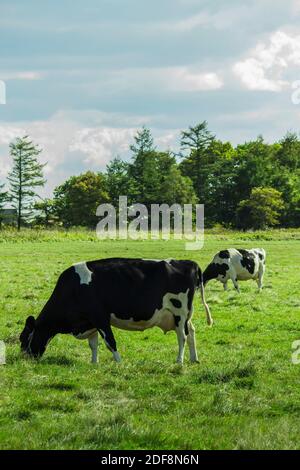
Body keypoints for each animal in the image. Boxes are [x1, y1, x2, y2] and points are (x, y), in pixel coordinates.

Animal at [19, 258, 213, 364]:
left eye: (23, 338)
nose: (24, 359)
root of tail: (190, 263)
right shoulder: (90, 321)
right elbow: (93, 344)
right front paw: (94, 363)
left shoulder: (100, 317)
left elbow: (110, 342)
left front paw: (119, 362)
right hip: (184, 316)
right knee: (192, 331)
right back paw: (194, 358)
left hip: (179, 312)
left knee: (182, 336)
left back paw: (179, 361)